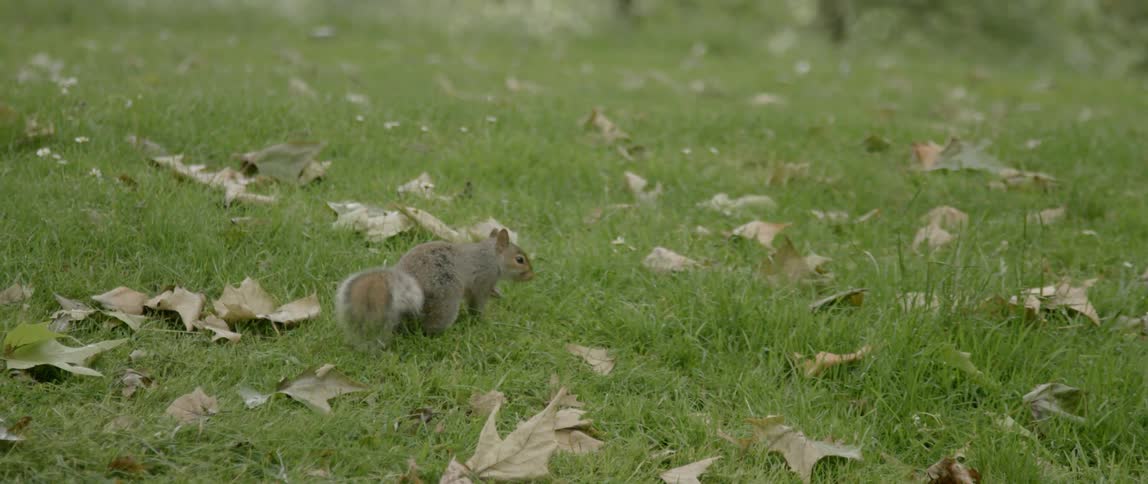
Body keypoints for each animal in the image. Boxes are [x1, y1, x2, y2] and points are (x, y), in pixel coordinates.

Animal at [335, 228, 534, 351]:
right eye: (520, 259)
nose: (532, 276)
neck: (492, 256)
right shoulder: (482, 281)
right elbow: (477, 304)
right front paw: (481, 320)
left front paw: (498, 293)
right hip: (446, 302)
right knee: (430, 328)